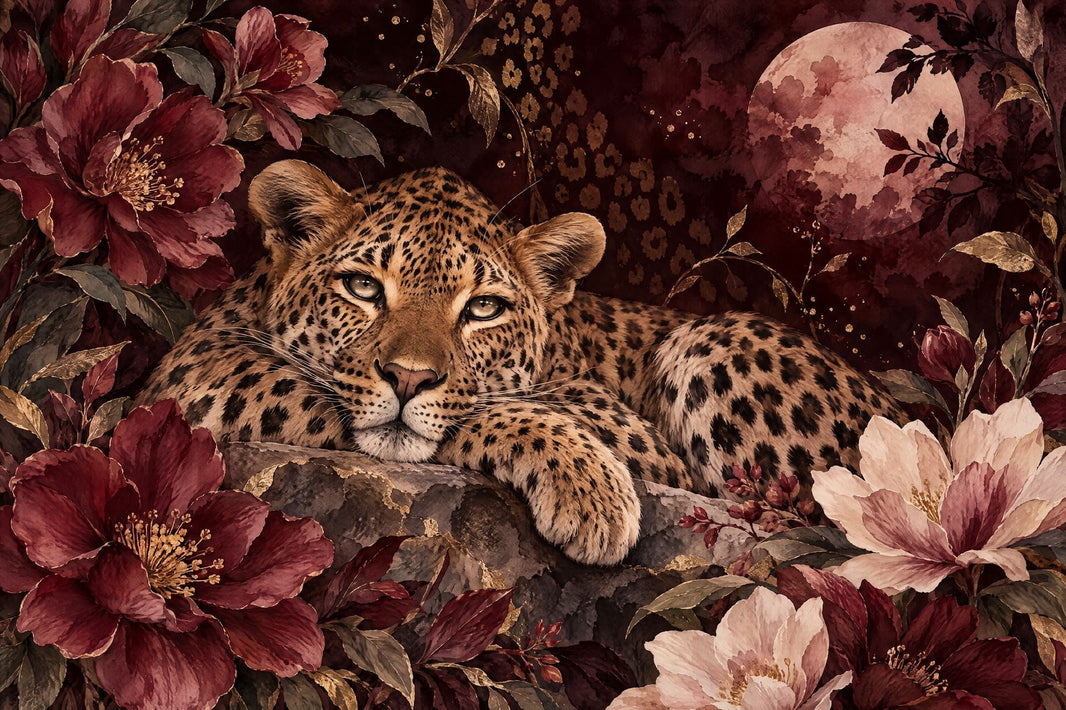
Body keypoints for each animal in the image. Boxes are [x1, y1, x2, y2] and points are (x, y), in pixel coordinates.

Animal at [138, 159, 897, 565]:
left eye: (483, 309)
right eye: (362, 287)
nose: (409, 378)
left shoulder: (655, 448)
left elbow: (490, 404)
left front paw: (593, 495)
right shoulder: (195, 365)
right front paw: (593, 492)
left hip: (713, 341)